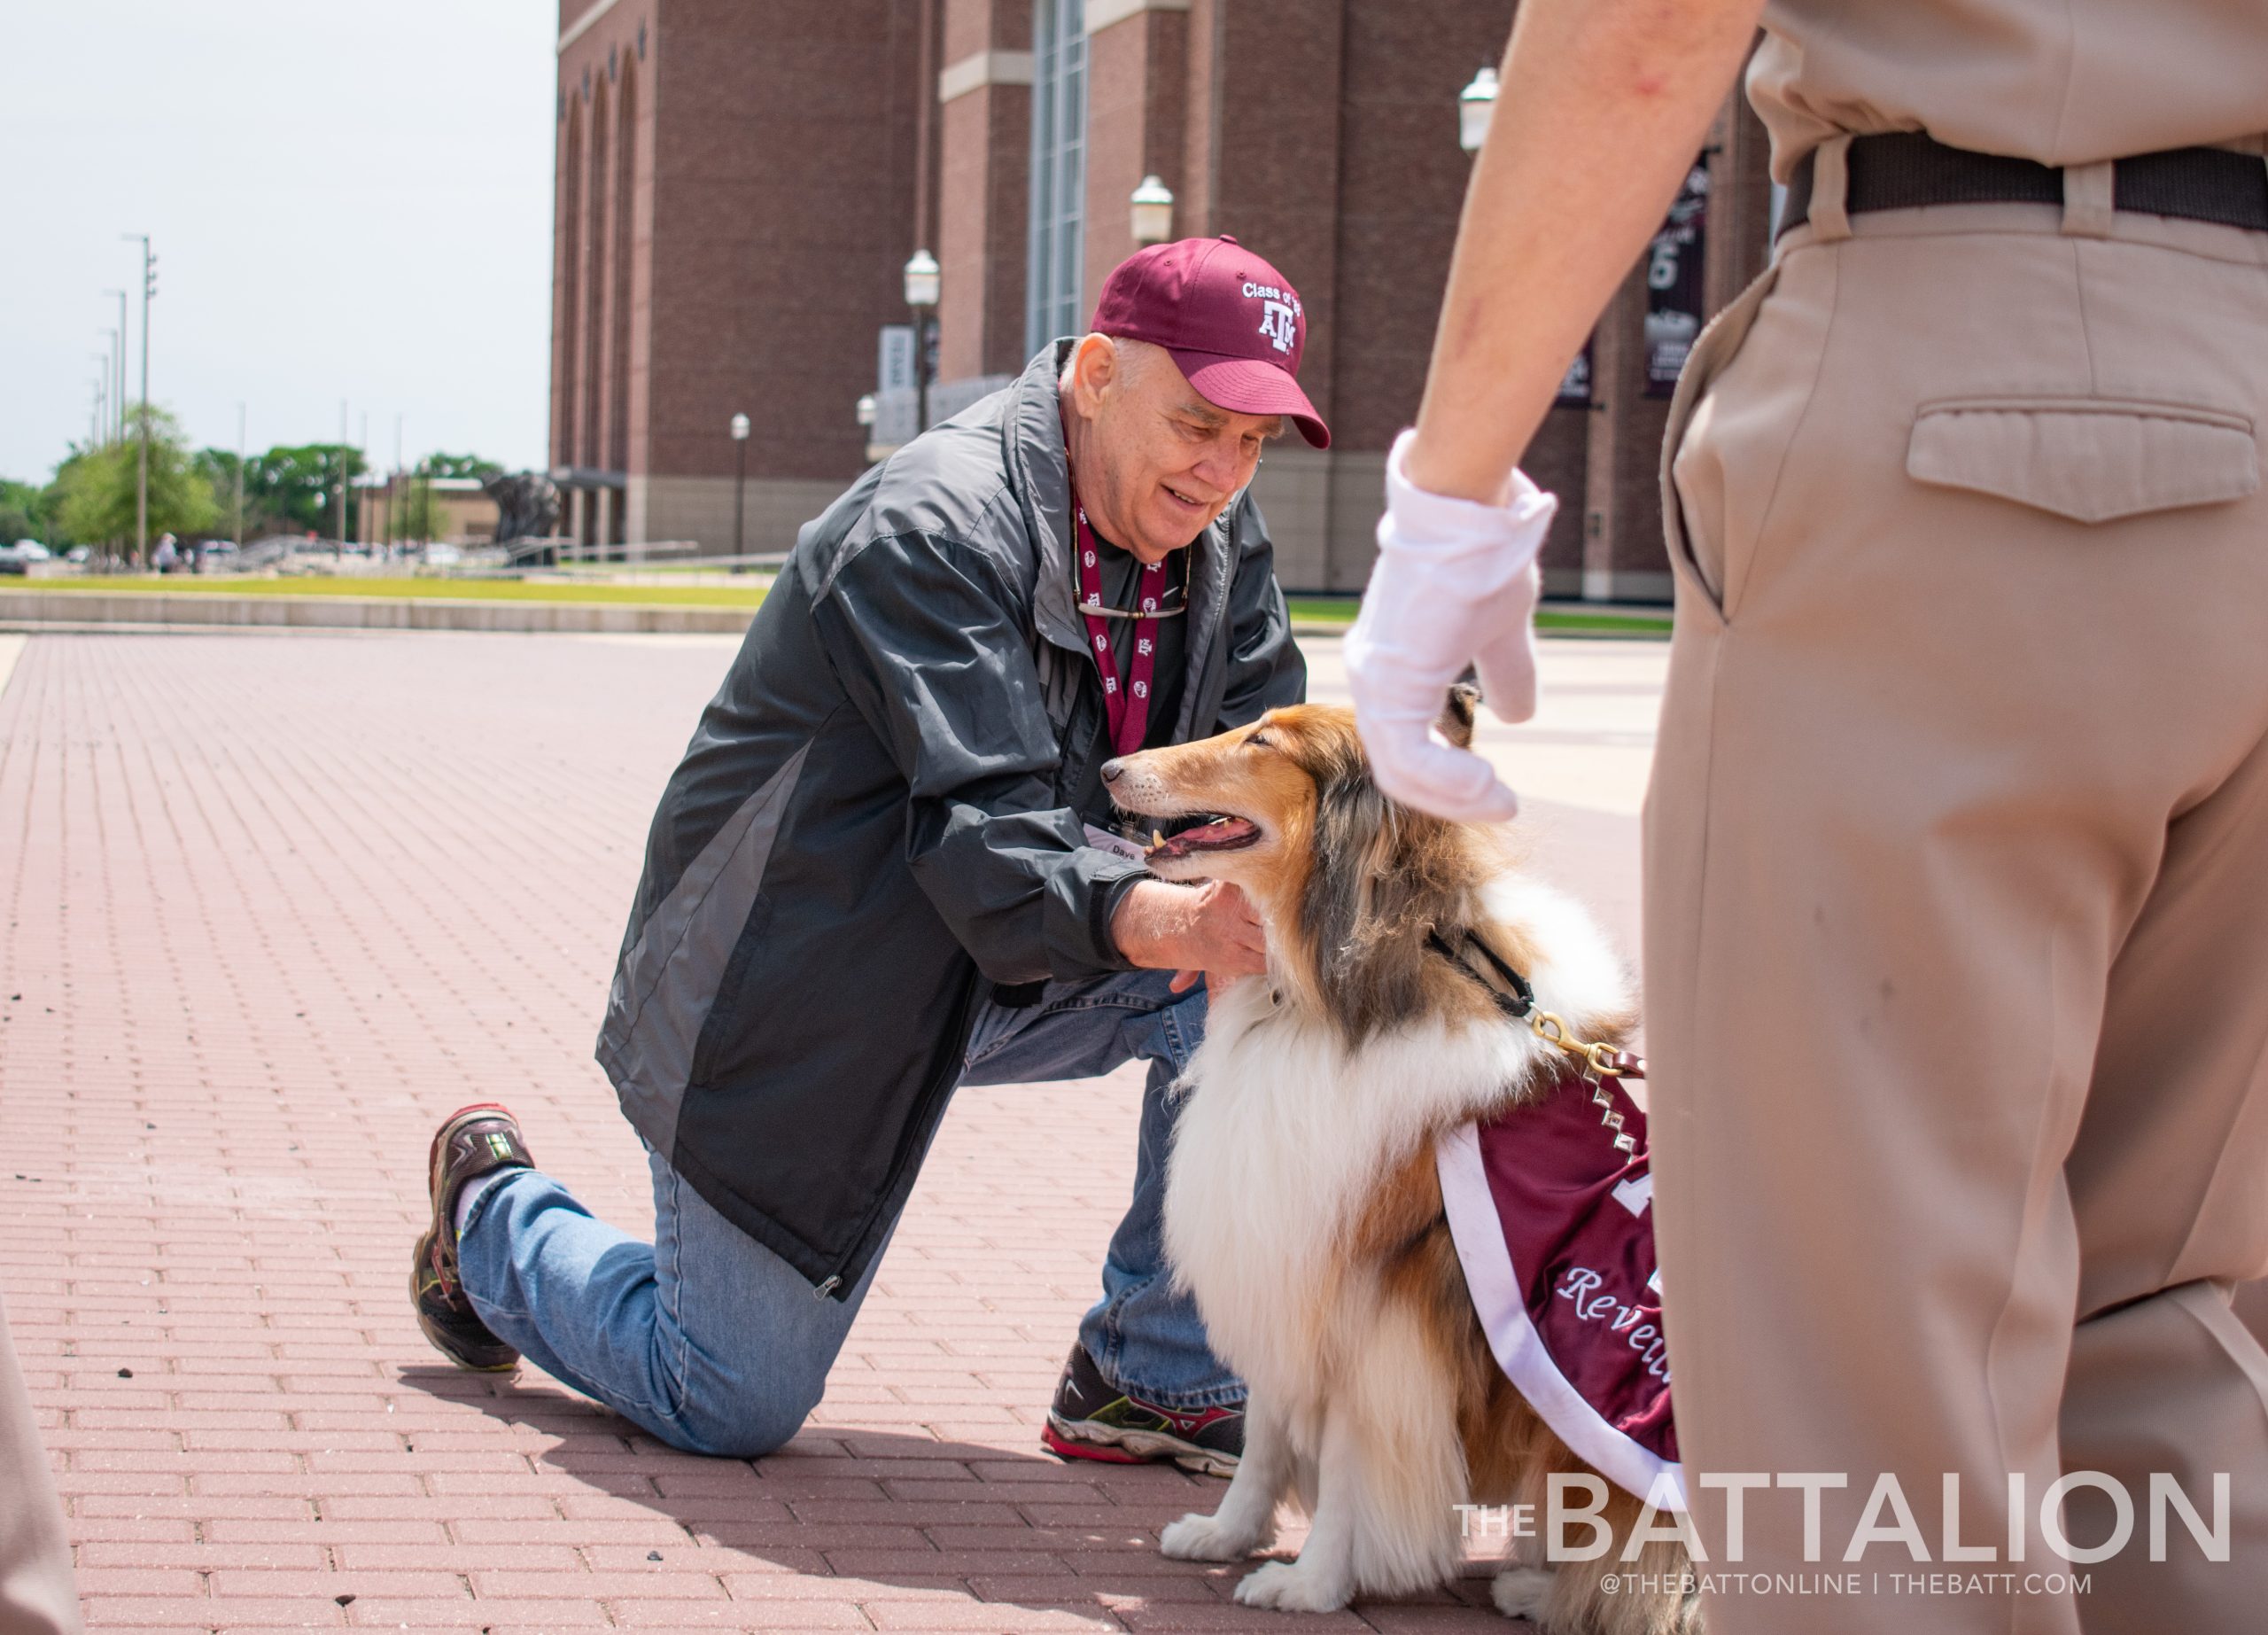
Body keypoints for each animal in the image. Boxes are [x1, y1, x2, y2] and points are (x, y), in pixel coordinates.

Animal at [1107, 689, 1696, 1632]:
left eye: (1263, 740)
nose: (1109, 768)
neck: (1336, 993)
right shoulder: (1292, 1254)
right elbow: (1265, 1431)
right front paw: (1226, 1533)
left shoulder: (1378, 1310)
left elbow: (1351, 1462)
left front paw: (1311, 1583)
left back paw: (1544, 1589)